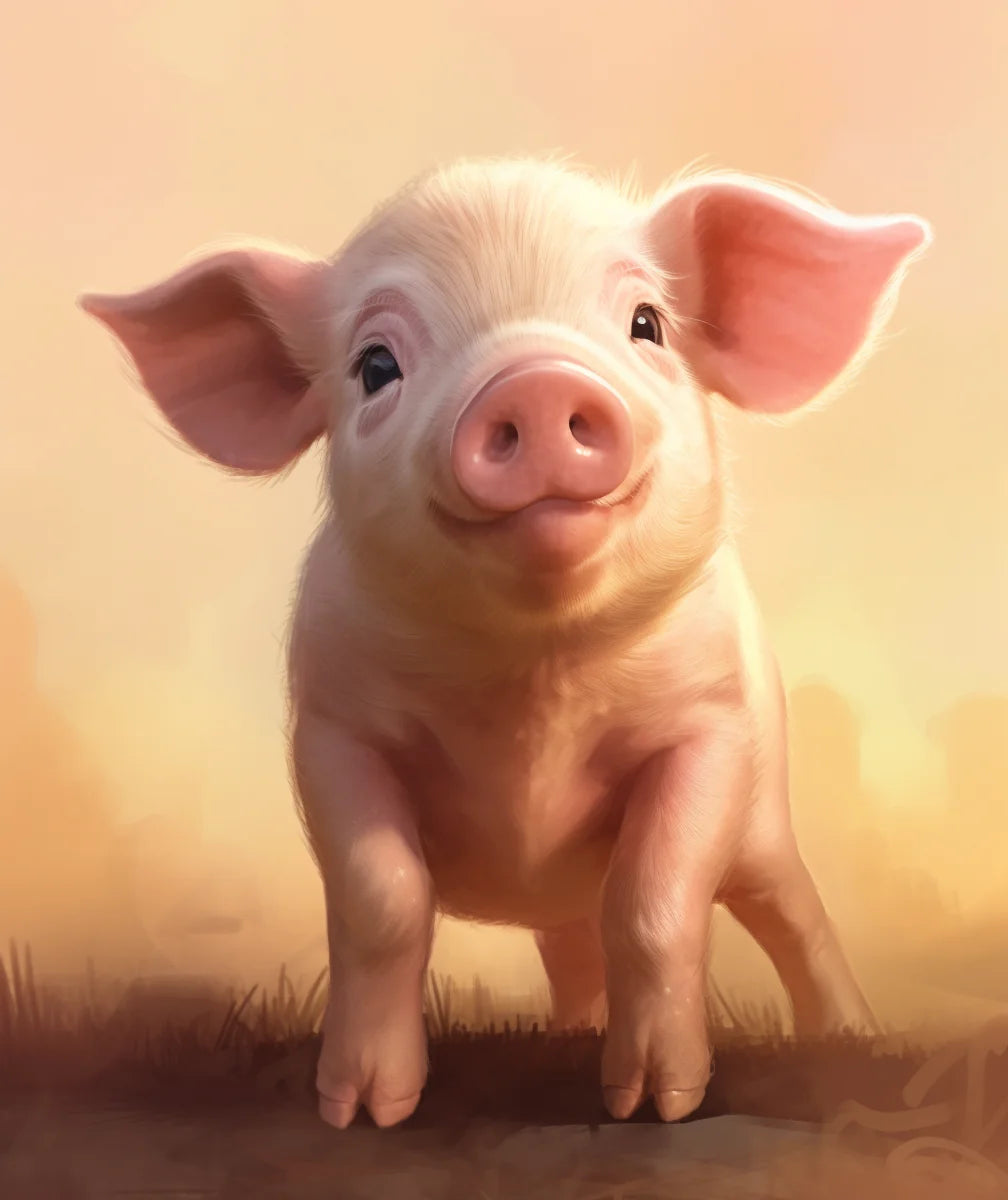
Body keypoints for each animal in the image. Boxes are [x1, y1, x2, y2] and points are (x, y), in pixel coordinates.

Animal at [79, 156, 931, 1129]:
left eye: (648, 323)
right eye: (375, 366)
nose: (538, 381)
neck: (534, 682)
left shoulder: (710, 725)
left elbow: (655, 896)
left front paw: (653, 1108)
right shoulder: (333, 730)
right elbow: (382, 900)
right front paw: (362, 1113)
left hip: (766, 814)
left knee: (790, 909)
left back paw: (852, 1038)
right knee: (573, 940)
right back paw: (566, 1038)